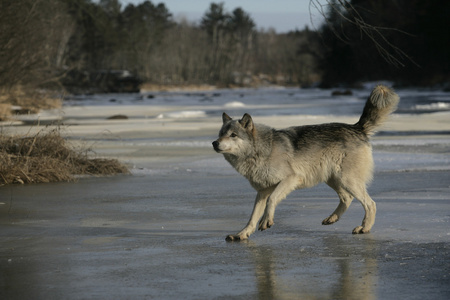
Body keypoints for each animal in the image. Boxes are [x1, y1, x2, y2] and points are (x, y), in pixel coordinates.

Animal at [213, 85, 400, 241]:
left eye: (233, 135)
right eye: (221, 134)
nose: (214, 143)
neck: (261, 151)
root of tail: (357, 127)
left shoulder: (290, 179)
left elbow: (272, 200)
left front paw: (266, 221)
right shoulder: (262, 192)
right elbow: (252, 217)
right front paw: (241, 234)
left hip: (346, 180)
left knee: (370, 204)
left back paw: (364, 228)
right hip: (333, 179)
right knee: (347, 198)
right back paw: (332, 218)